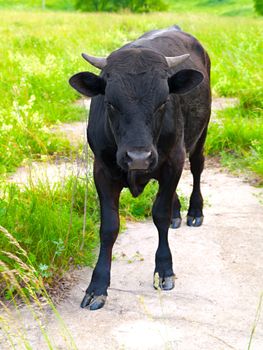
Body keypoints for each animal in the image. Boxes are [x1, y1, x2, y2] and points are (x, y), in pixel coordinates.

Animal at [69, 25, 211, 308]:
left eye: (163, 102)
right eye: (111, 103)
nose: (138, 158)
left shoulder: (173, 160)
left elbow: (160, 215)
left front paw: (164, 270)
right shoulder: (102, 170)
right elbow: (109, 227)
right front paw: (97, 286)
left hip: (200, 134)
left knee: (197, 167)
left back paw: (194, 211)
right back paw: (178, 212)